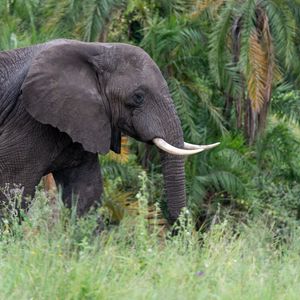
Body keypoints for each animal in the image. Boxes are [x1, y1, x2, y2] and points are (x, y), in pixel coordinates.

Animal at [0, 38, 218, 224]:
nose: (176, 223)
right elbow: (13, 190)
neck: (96, 48)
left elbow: (87, 193)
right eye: (138, 97)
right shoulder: (27, 119)